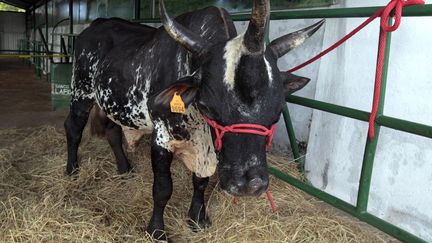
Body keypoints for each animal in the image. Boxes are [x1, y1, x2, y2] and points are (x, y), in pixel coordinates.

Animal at [63, 0, 320, 239]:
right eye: (207, 106)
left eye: (277, 111)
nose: (248, 185)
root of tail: (94, 25)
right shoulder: (161, 139)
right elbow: (163, 188)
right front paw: (156, 230)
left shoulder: (208, 145)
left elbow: (201, 181)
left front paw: (197, 219)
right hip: (81, 92)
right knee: (73, 127)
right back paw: (72, 170)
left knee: (112, 130)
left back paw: (125, 168)